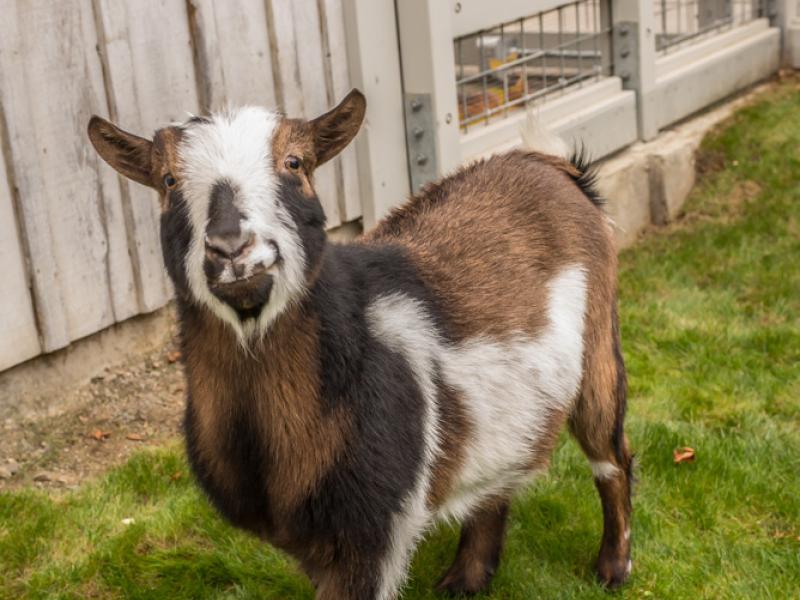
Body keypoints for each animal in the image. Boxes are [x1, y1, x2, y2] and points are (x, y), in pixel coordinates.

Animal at [87, 90, 636, 600]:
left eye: (295, 162)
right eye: (167, 180)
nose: (231, 249)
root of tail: (550, 165)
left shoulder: (376, 530)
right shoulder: (315, 543)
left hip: (599, 346)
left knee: (611, 456)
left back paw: (613, 568)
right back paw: (465, 579)